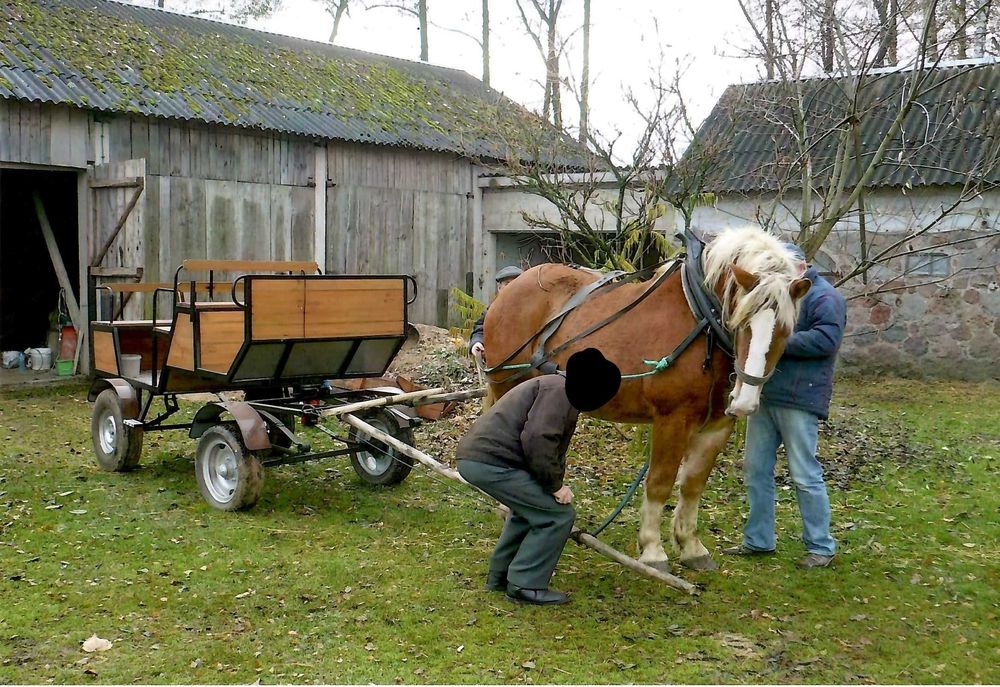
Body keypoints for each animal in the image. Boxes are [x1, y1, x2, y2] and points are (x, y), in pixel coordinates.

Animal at [484, 228, 812, 572]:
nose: (745, 400)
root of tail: (512, 287)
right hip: (508, 384)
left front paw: (691, 546)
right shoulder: (672, 418)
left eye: (786, 330)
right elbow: (660, 482)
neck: (701, 320)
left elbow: (693, 484)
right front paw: (653, 550)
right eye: (741, 320)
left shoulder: (717, 426)